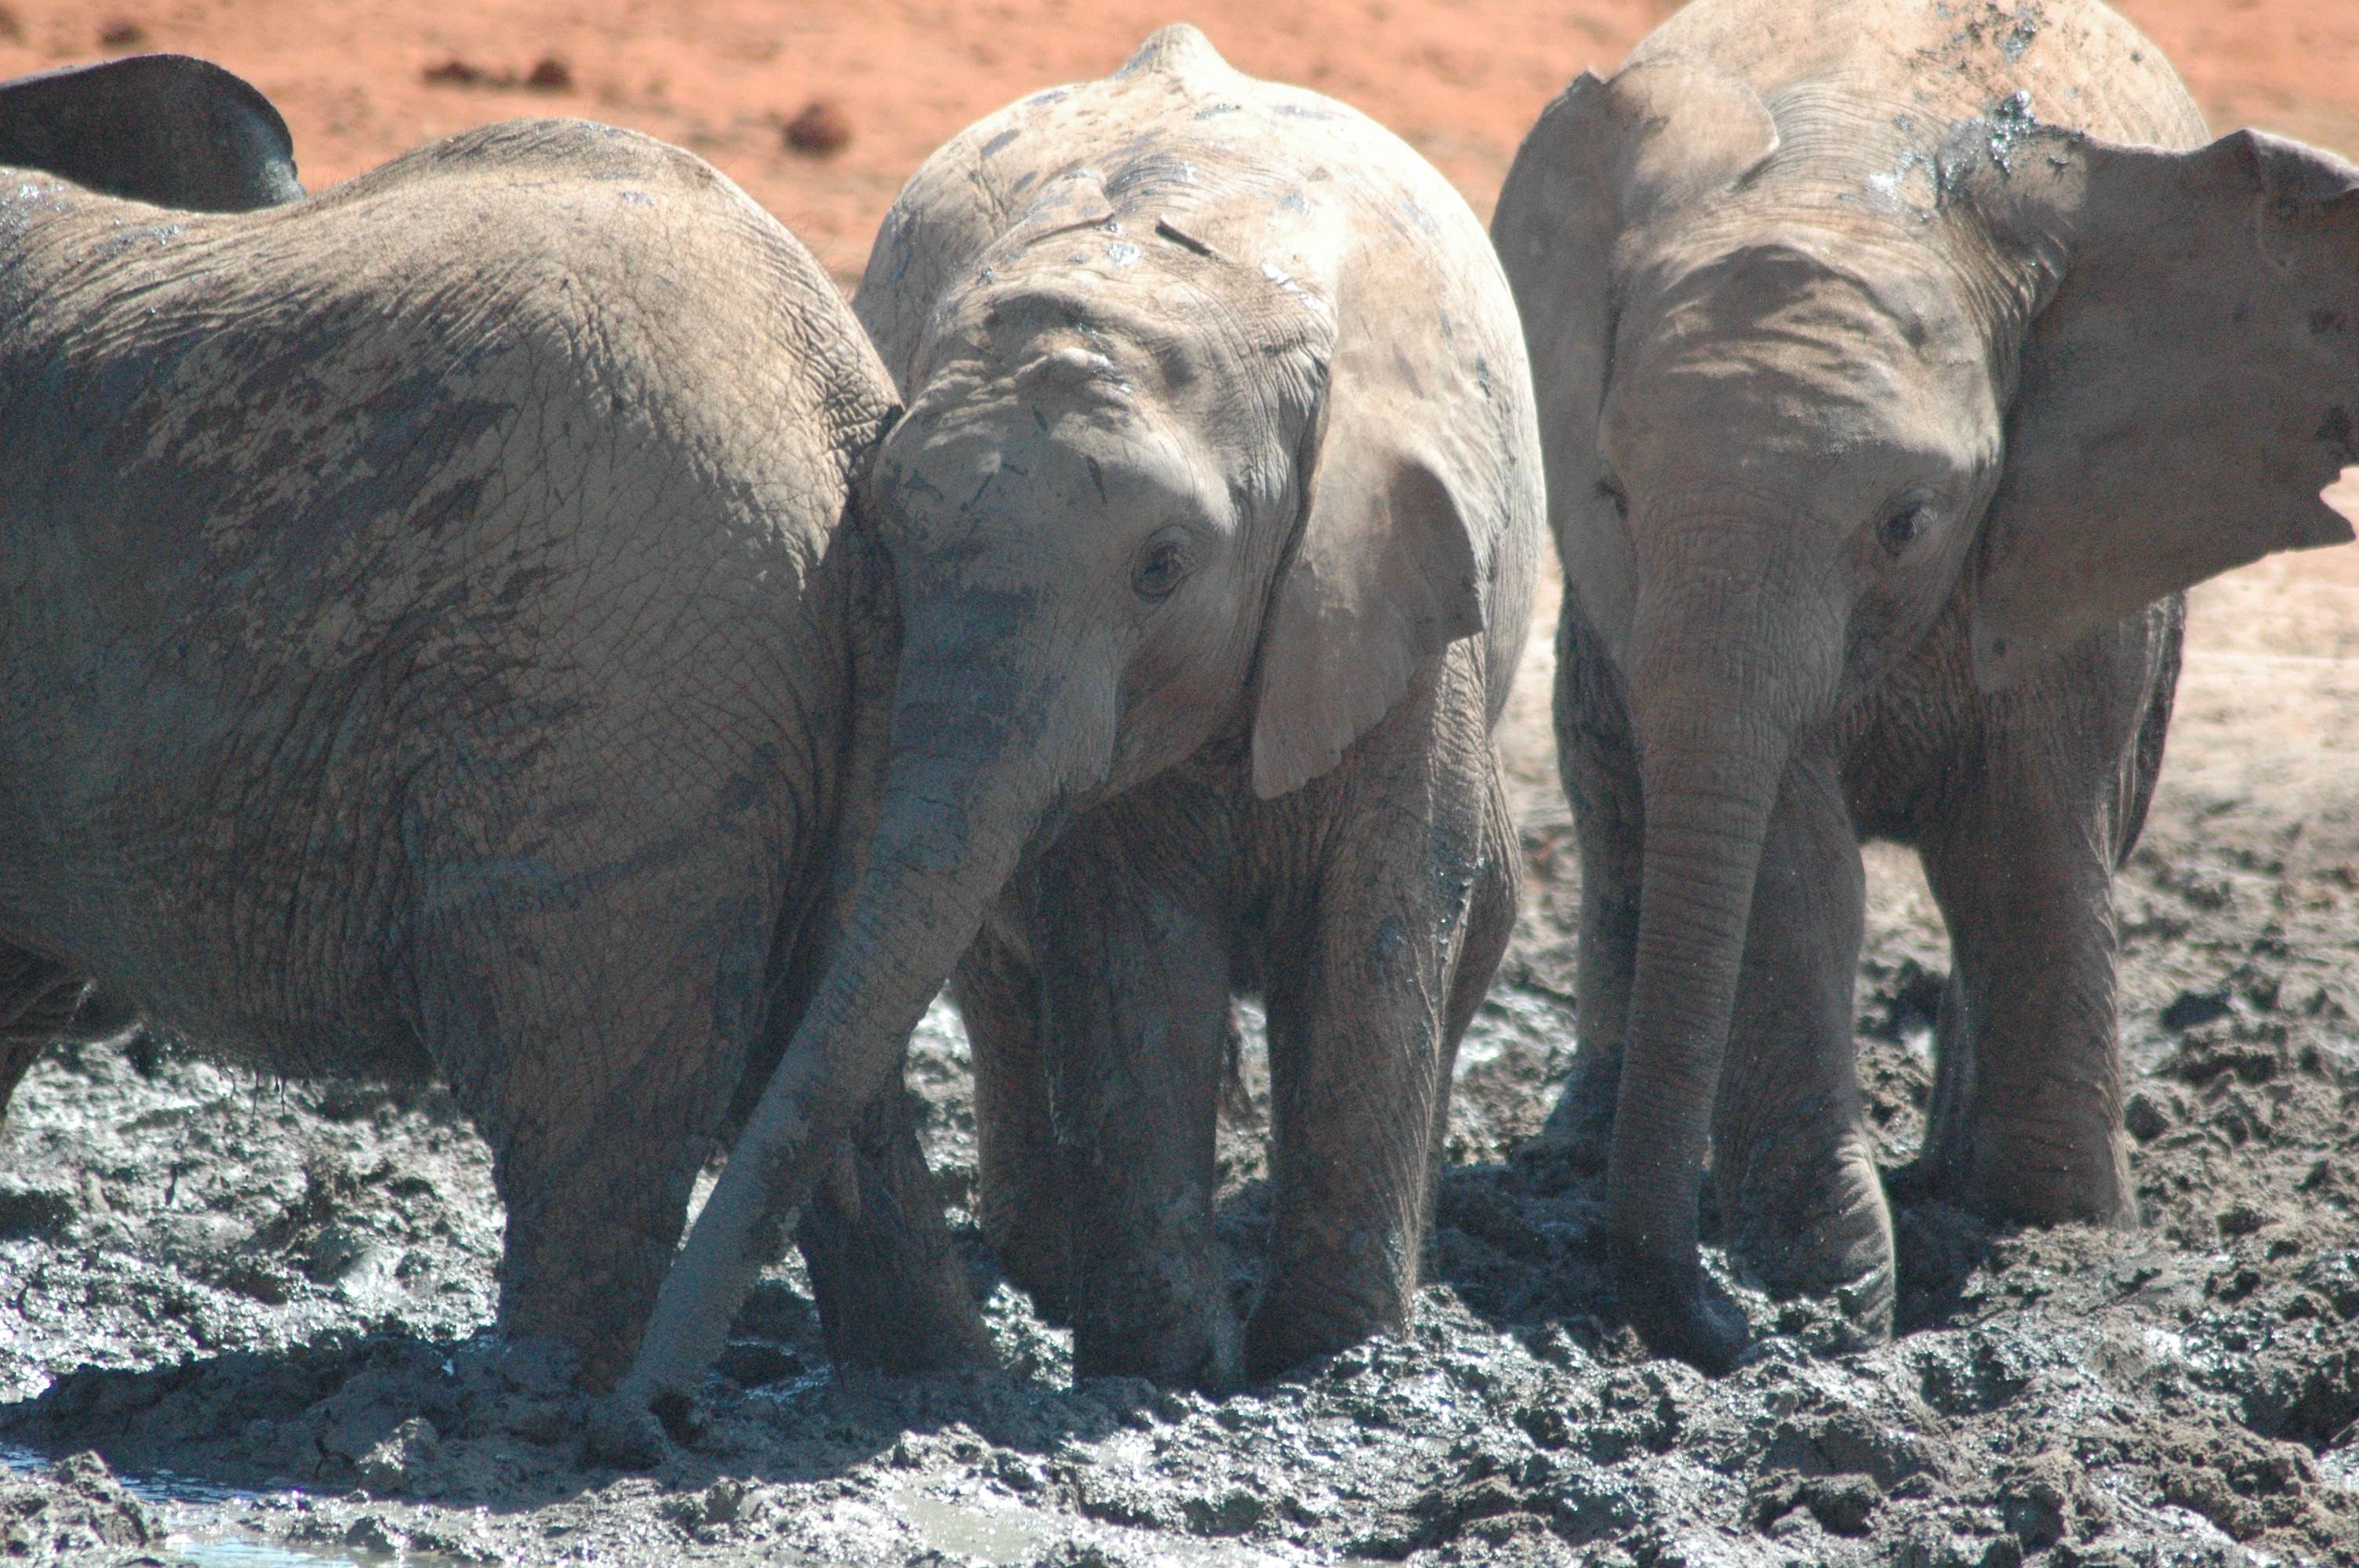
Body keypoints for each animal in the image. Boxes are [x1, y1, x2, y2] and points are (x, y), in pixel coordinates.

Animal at [0, 58, 990, 1386]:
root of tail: (840, 416)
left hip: (607, 687)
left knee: (587, 1107)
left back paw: (533, 1409)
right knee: (833, 1085)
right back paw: (921, 1389)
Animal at [627, 21, 1547, 1396]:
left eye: (1163, 566)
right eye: (881, 542)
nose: (646, 1415)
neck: (1188, 263)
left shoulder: (1388, 599)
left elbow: (1375, 930)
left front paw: (1321, 1362)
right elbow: (1131, 943)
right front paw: (1172, 1367)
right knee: (1001, 976)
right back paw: (1046, 1277)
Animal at [1491, 0, 2359, 1367]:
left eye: (1908, 522)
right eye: (1613, 496)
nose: (1723, 1324)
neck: (1848, 175)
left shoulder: (2075, 526)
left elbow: (2026, 853)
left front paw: (2048, 1239)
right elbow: (1793, 869)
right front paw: (1836, 1288)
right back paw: (1582, 1151)